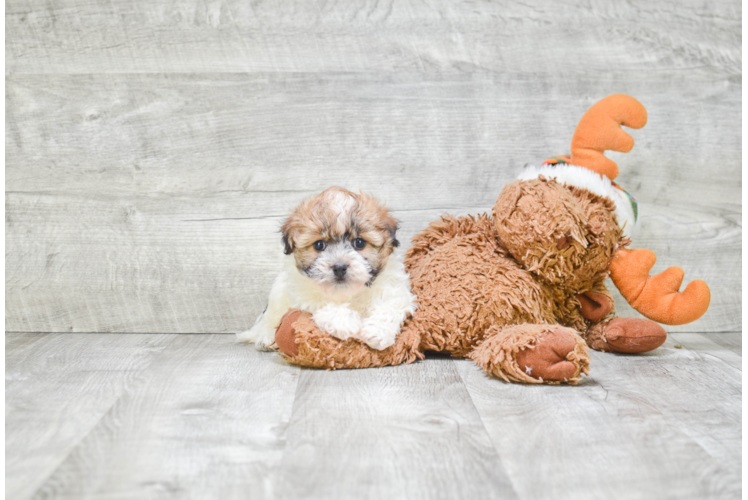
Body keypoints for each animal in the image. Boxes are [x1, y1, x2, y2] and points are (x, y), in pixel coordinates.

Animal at [238, 188, 414, 352]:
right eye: (319, 245)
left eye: (359, 243)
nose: (339, 267)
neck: (349, 293)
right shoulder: (303, 292)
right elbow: (323, 301)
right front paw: (345, 322)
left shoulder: (395, 288)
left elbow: (390, 305)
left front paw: (377, 332)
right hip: (277, 293)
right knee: (270, 319)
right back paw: (266, 338)